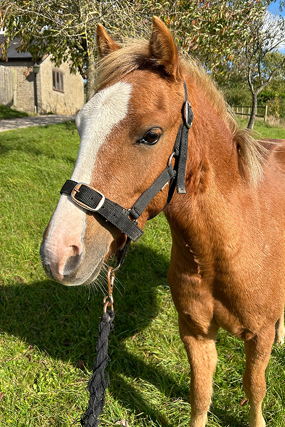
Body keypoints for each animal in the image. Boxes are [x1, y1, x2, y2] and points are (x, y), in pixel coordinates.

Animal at [40, 16, 284, 427]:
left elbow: (255, 391)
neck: (228, 247)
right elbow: (201, 395)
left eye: (151, 135)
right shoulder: (196, 332)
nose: (58, 254)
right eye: (79, 126)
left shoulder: (259, 337)